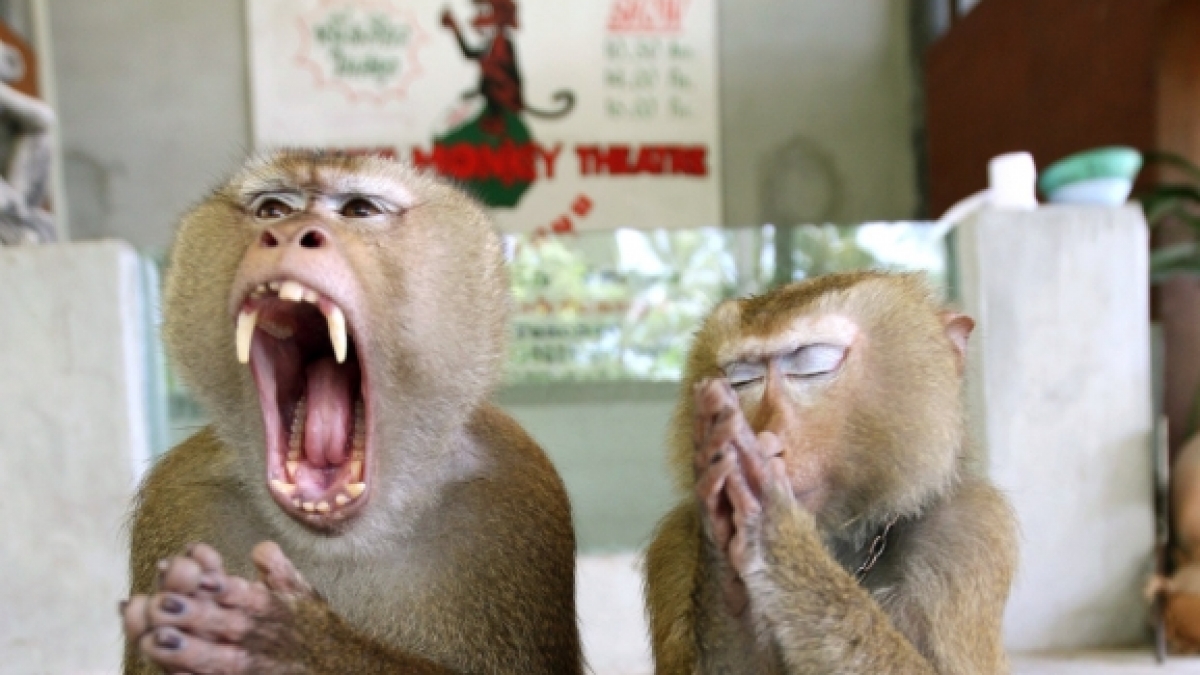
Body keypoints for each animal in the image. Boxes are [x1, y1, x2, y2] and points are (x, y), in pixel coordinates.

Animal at [118, 149, 583, 674]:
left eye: (359, 210)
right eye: (272, 210)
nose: (285, 235)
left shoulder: (516, 493)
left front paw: (292, 644)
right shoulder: (178, 497)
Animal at [644, 271, 1017, 674]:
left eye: (812, 365)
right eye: (743, 379)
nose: (767, 436)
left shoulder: (969, 533)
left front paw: (778, 537)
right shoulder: (676, 540)